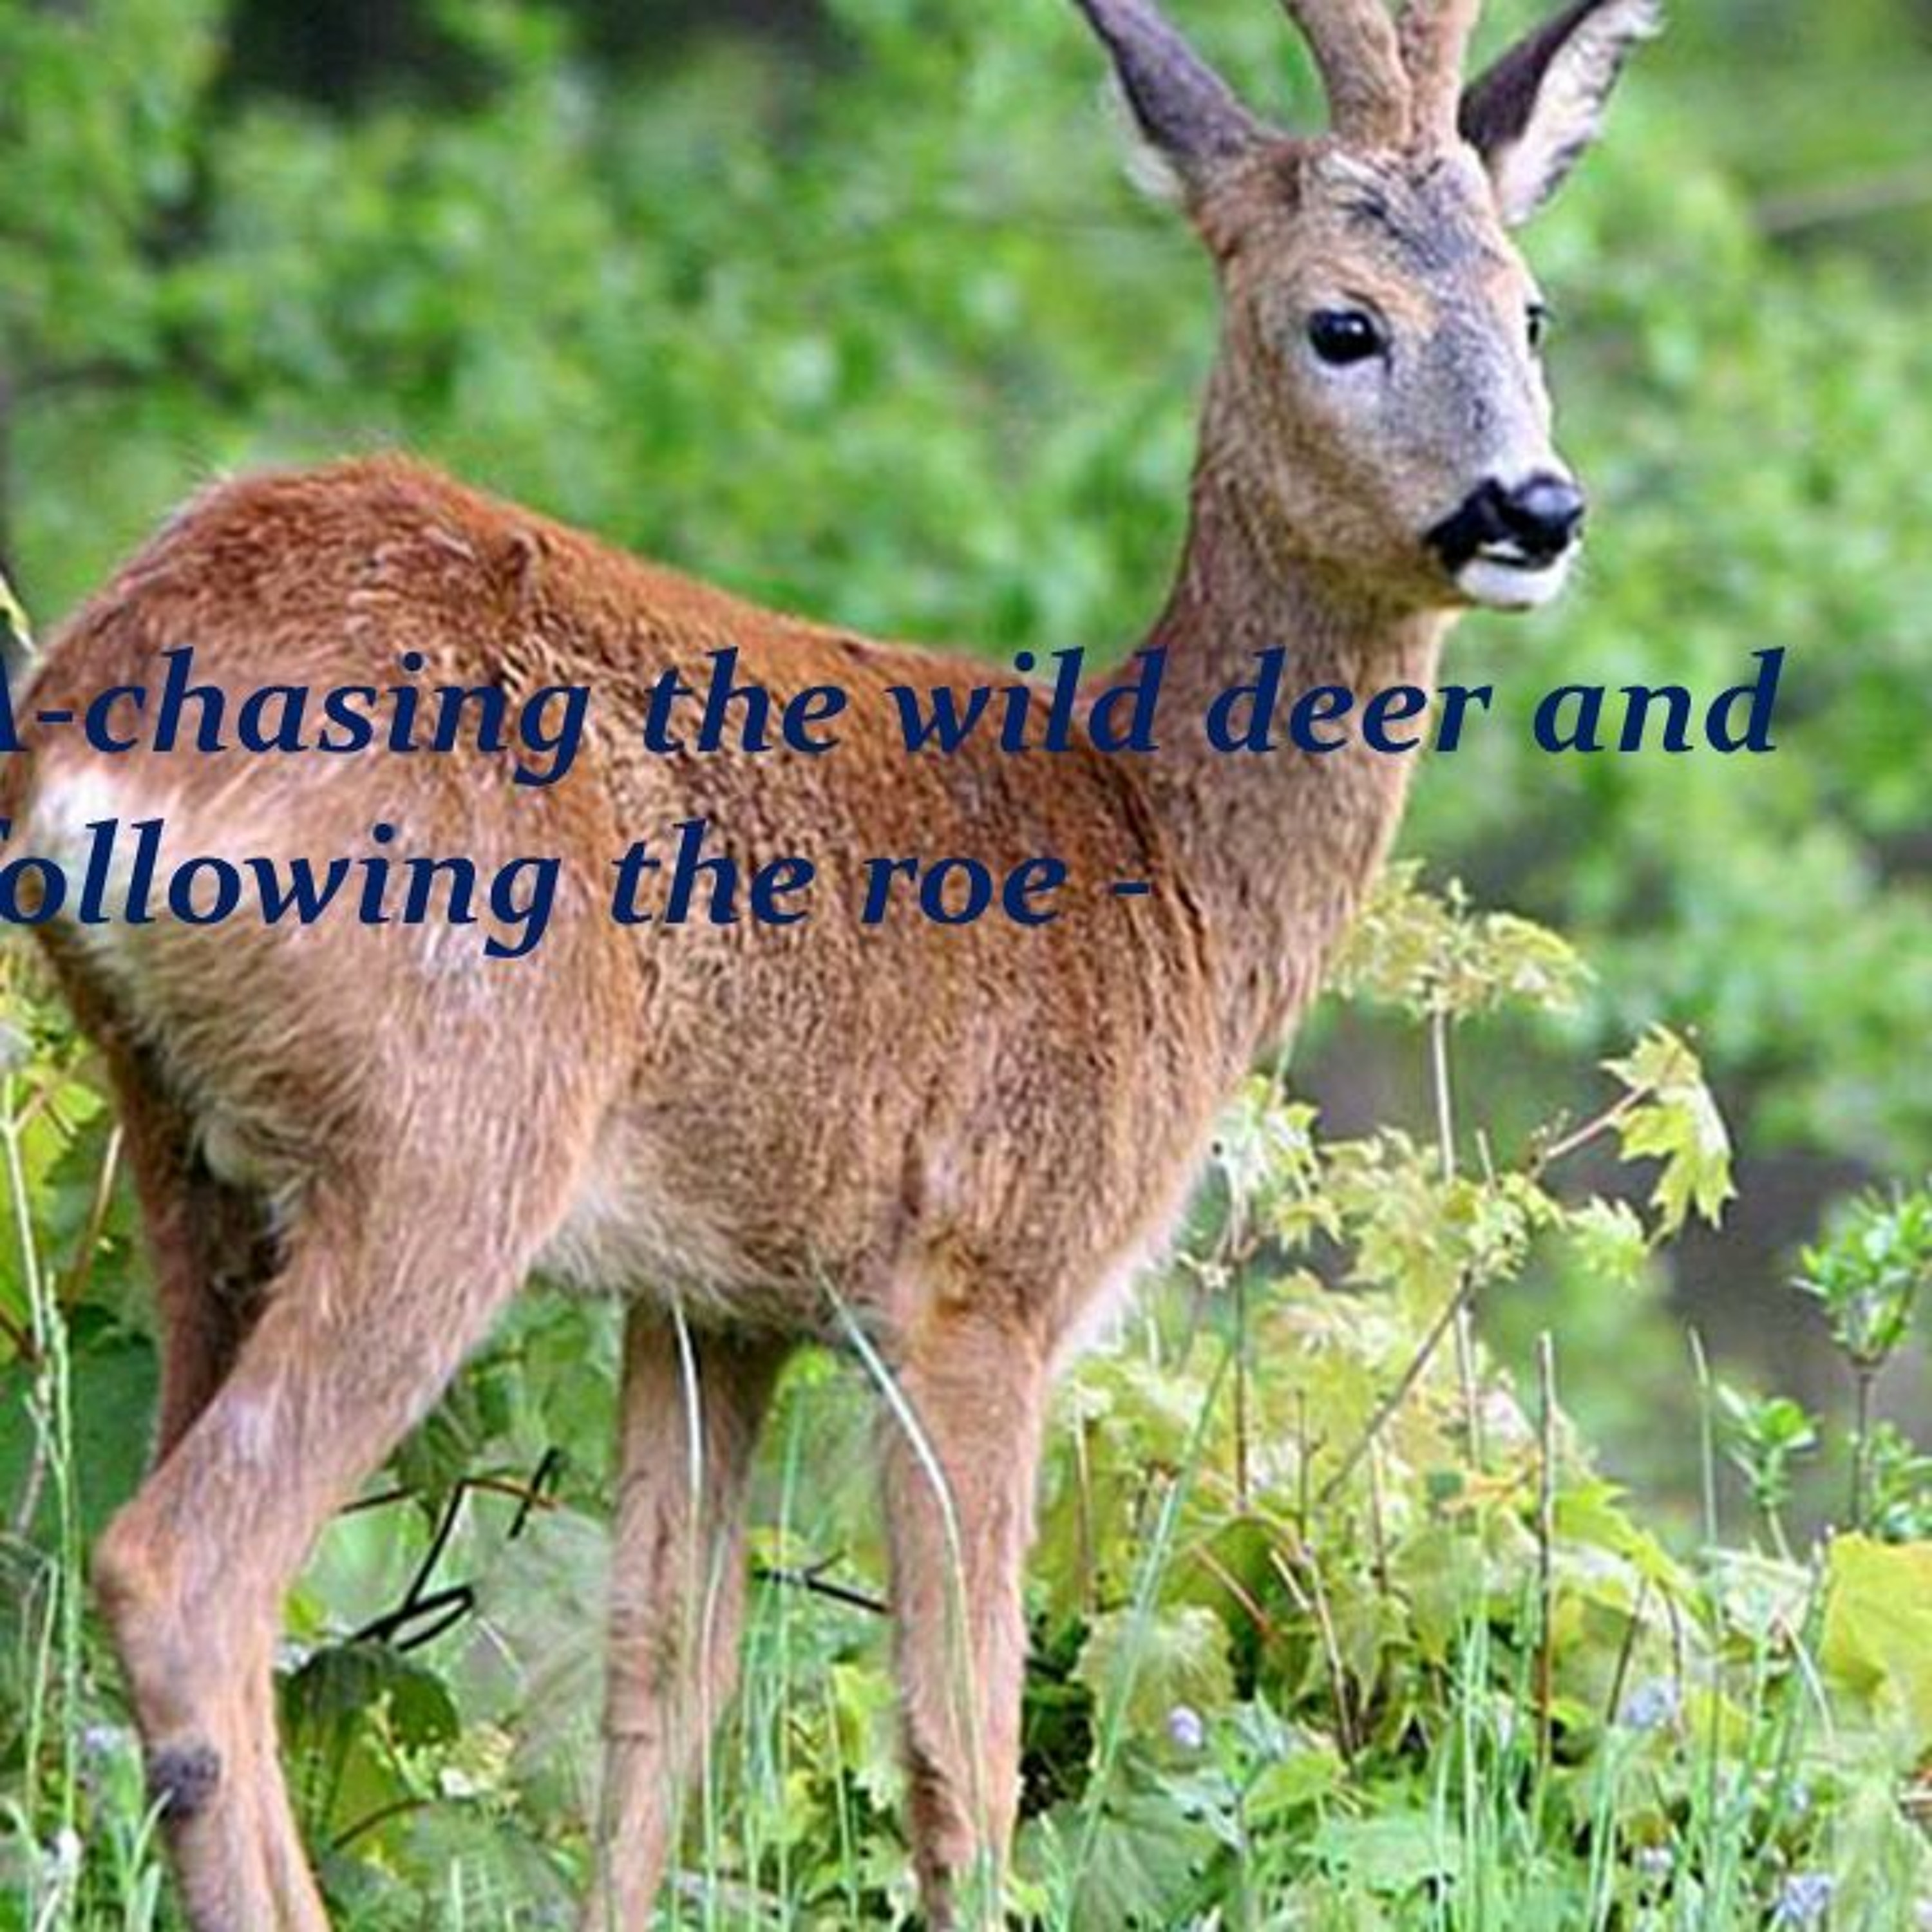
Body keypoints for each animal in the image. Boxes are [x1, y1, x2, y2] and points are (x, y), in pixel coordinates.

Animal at [2, 0, 1659, 1924]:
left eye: (1529, 309)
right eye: (1343, 322)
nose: (1533, 505)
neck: (1165, 870)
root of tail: (89, 724)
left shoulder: (712, 1298)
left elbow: (661, 1679)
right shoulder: (980, 1273)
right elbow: (964, 1738)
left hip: (180, 1136)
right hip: (450, 1116)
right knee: (184, 1563)